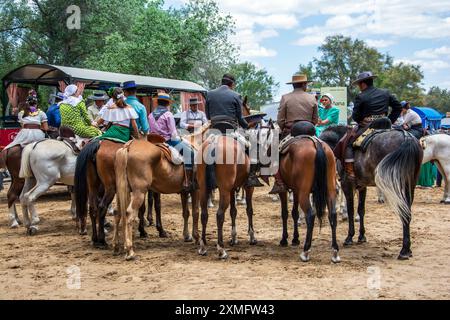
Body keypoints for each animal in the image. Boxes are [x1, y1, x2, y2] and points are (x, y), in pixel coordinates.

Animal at [193, 121, 274, 258]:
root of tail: (214, 142)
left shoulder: (231, 189)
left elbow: (233, 211)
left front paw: (234, 238)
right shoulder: (249, 187)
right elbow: (249, 210)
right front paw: (252, 237)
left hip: (204, 189)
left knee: (204, 214)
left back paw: (203, 247)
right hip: (224, 190)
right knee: (219, 215)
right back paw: (221, 249)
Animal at [320, 123, 422, 260]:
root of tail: (407, 137)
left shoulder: (347, 185)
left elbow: (351, 210)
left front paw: (350, 237)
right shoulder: (362, 186)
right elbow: (361, 210)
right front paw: (361, 236)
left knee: (403, 212)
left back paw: (404, 250)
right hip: (409, 185)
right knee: (407, 213)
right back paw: (406, 250)